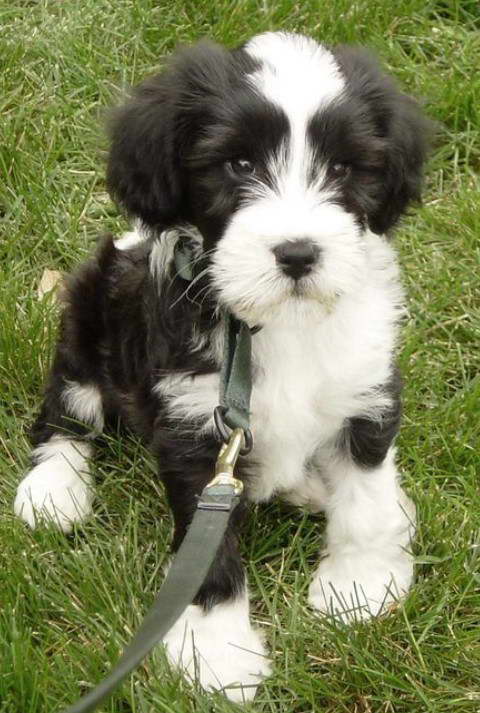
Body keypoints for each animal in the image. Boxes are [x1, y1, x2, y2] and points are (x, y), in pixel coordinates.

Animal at [15, 32, 430, 700]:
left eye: (343, 168)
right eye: (238, 165)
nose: (298, 254)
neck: (271, 322)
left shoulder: (364, 388)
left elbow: (366, 496)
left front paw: (360, 584)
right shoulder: (194, 423)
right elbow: (207, 549)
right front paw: (217, 652)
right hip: (89, 307)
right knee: (66, 410)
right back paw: (55, 489)